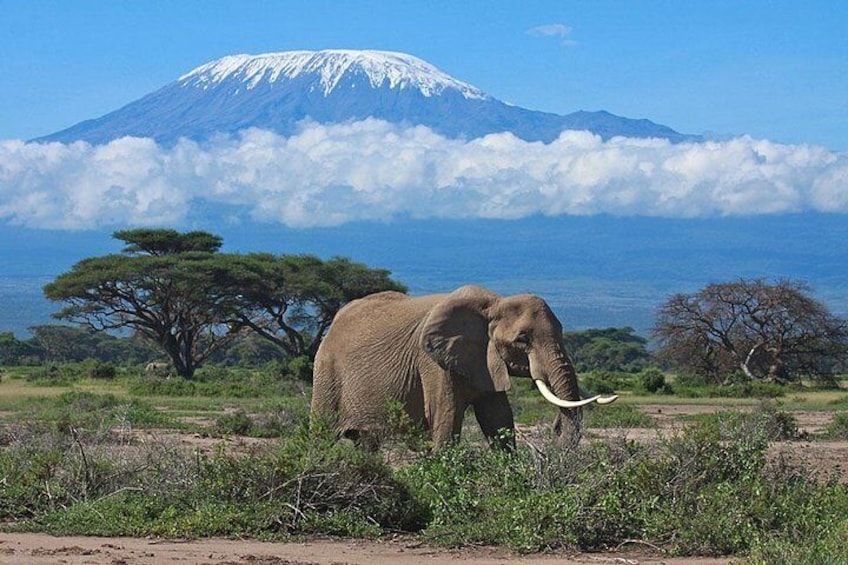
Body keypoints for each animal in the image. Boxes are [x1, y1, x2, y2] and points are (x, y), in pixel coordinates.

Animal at [312, 286, 616, 450]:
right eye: (523, 339)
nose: (554, 428)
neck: (494, 304)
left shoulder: (484, 361)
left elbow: (499, 420)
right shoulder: (432, 363)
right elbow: (446, 420)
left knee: (366, 443)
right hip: (326, 369)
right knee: (322, 433)